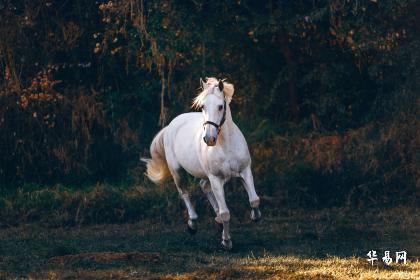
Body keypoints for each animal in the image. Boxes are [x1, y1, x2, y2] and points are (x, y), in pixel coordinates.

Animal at [144, 76, 262, 249]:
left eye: (220, 106)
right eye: (203, 106)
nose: (209, 139)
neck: (225, 145)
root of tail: (171, 125)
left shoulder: (245, 171)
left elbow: (254, 200)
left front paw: (255, 216)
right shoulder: (216, 178)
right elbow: (226, 213)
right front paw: (226, 242)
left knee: (203, 186)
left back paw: (216, 219)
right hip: (177, 172)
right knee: (185, 193)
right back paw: (192, 224)